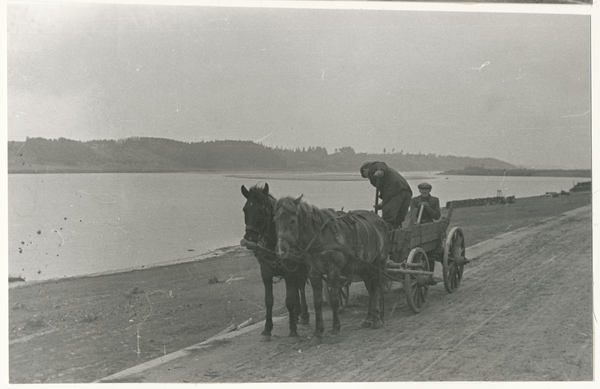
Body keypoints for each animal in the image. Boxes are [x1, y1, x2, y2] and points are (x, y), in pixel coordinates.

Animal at [241, 183, 312, 342]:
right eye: (245, 209)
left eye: (263, 209)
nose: (249, 238)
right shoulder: (266, 272)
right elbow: (269, 300)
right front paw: (267, 330)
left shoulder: (289, 271)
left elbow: (289, 300)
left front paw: (293, 331)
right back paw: (297, 314)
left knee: (301, 287)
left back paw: (304, 315)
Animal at [274, 196, 392, 344]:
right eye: (276, 221)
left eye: (292, 221)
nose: (281, 250)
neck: (320, 237)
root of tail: (379, 219)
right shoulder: (314, 273)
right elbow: (317, 302)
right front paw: (318, 333)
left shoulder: (334, 270)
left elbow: (335, 299)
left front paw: (335, 329)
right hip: (363, 267)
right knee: (371, 290)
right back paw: (368, 318)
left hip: (377, 264)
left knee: (376, 288)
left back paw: (376, 319)